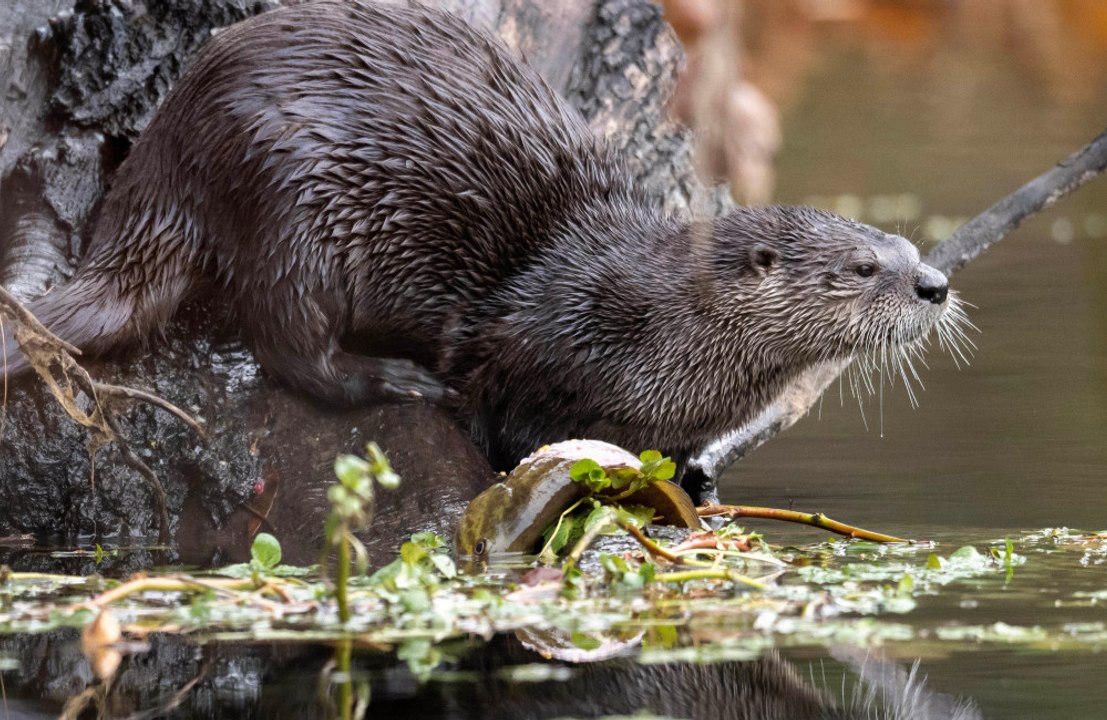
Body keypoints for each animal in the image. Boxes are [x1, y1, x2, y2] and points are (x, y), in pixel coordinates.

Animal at [0, 1, 958, 488]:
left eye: (902, 244)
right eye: (863, 268)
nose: (934, 286)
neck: (663, 331)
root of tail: (172, 135)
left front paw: (694, 479)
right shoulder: (539, 341)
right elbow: (507, 413)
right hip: (293, 203)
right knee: (290, 346)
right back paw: (392, 378)